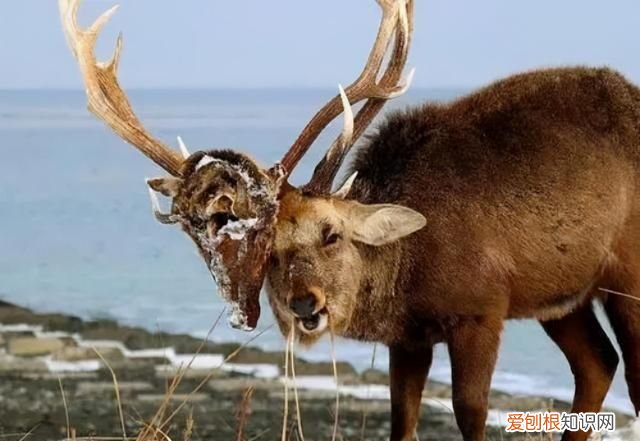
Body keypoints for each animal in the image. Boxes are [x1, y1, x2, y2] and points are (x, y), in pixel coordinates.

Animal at [59, 0, 640, 440]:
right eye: (268, 249)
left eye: (331, 233)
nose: (304, 304)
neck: (409, 271)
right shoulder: (409, 338)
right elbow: (401, 420)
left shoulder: (480, 310)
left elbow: (471, 414)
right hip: (562, 295)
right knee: (597, 363)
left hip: (626, 275)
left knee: (626, 372)